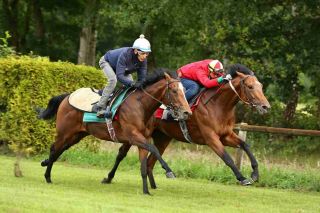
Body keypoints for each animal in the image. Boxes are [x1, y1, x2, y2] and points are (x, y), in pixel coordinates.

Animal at [38, 68, 191, 195]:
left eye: (184, 91)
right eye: (174, 91)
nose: (187, 112)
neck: (141, 106)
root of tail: (67, 96)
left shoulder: (143, 139)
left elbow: (143, 164)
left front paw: (146, 191)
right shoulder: (134, 136)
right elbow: (154, 149)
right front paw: (169, 171)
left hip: (77, 135)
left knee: (61, 149)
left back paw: (46, 163)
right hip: (65, 132)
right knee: (54, 148)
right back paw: (47, 176)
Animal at [102, 64, 270, 187]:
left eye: (260, 86)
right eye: (250, 86)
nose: (266, 106)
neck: (218, 105)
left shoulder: (226, 135)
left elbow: (245, 145)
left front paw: (255, 173)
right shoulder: (211, 138)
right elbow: (227, 158)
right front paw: (242, 177)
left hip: (162, 138)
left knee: (150, 161)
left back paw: (154, 183)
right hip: (136, 132)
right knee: (122, 154)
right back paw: (108, 178)